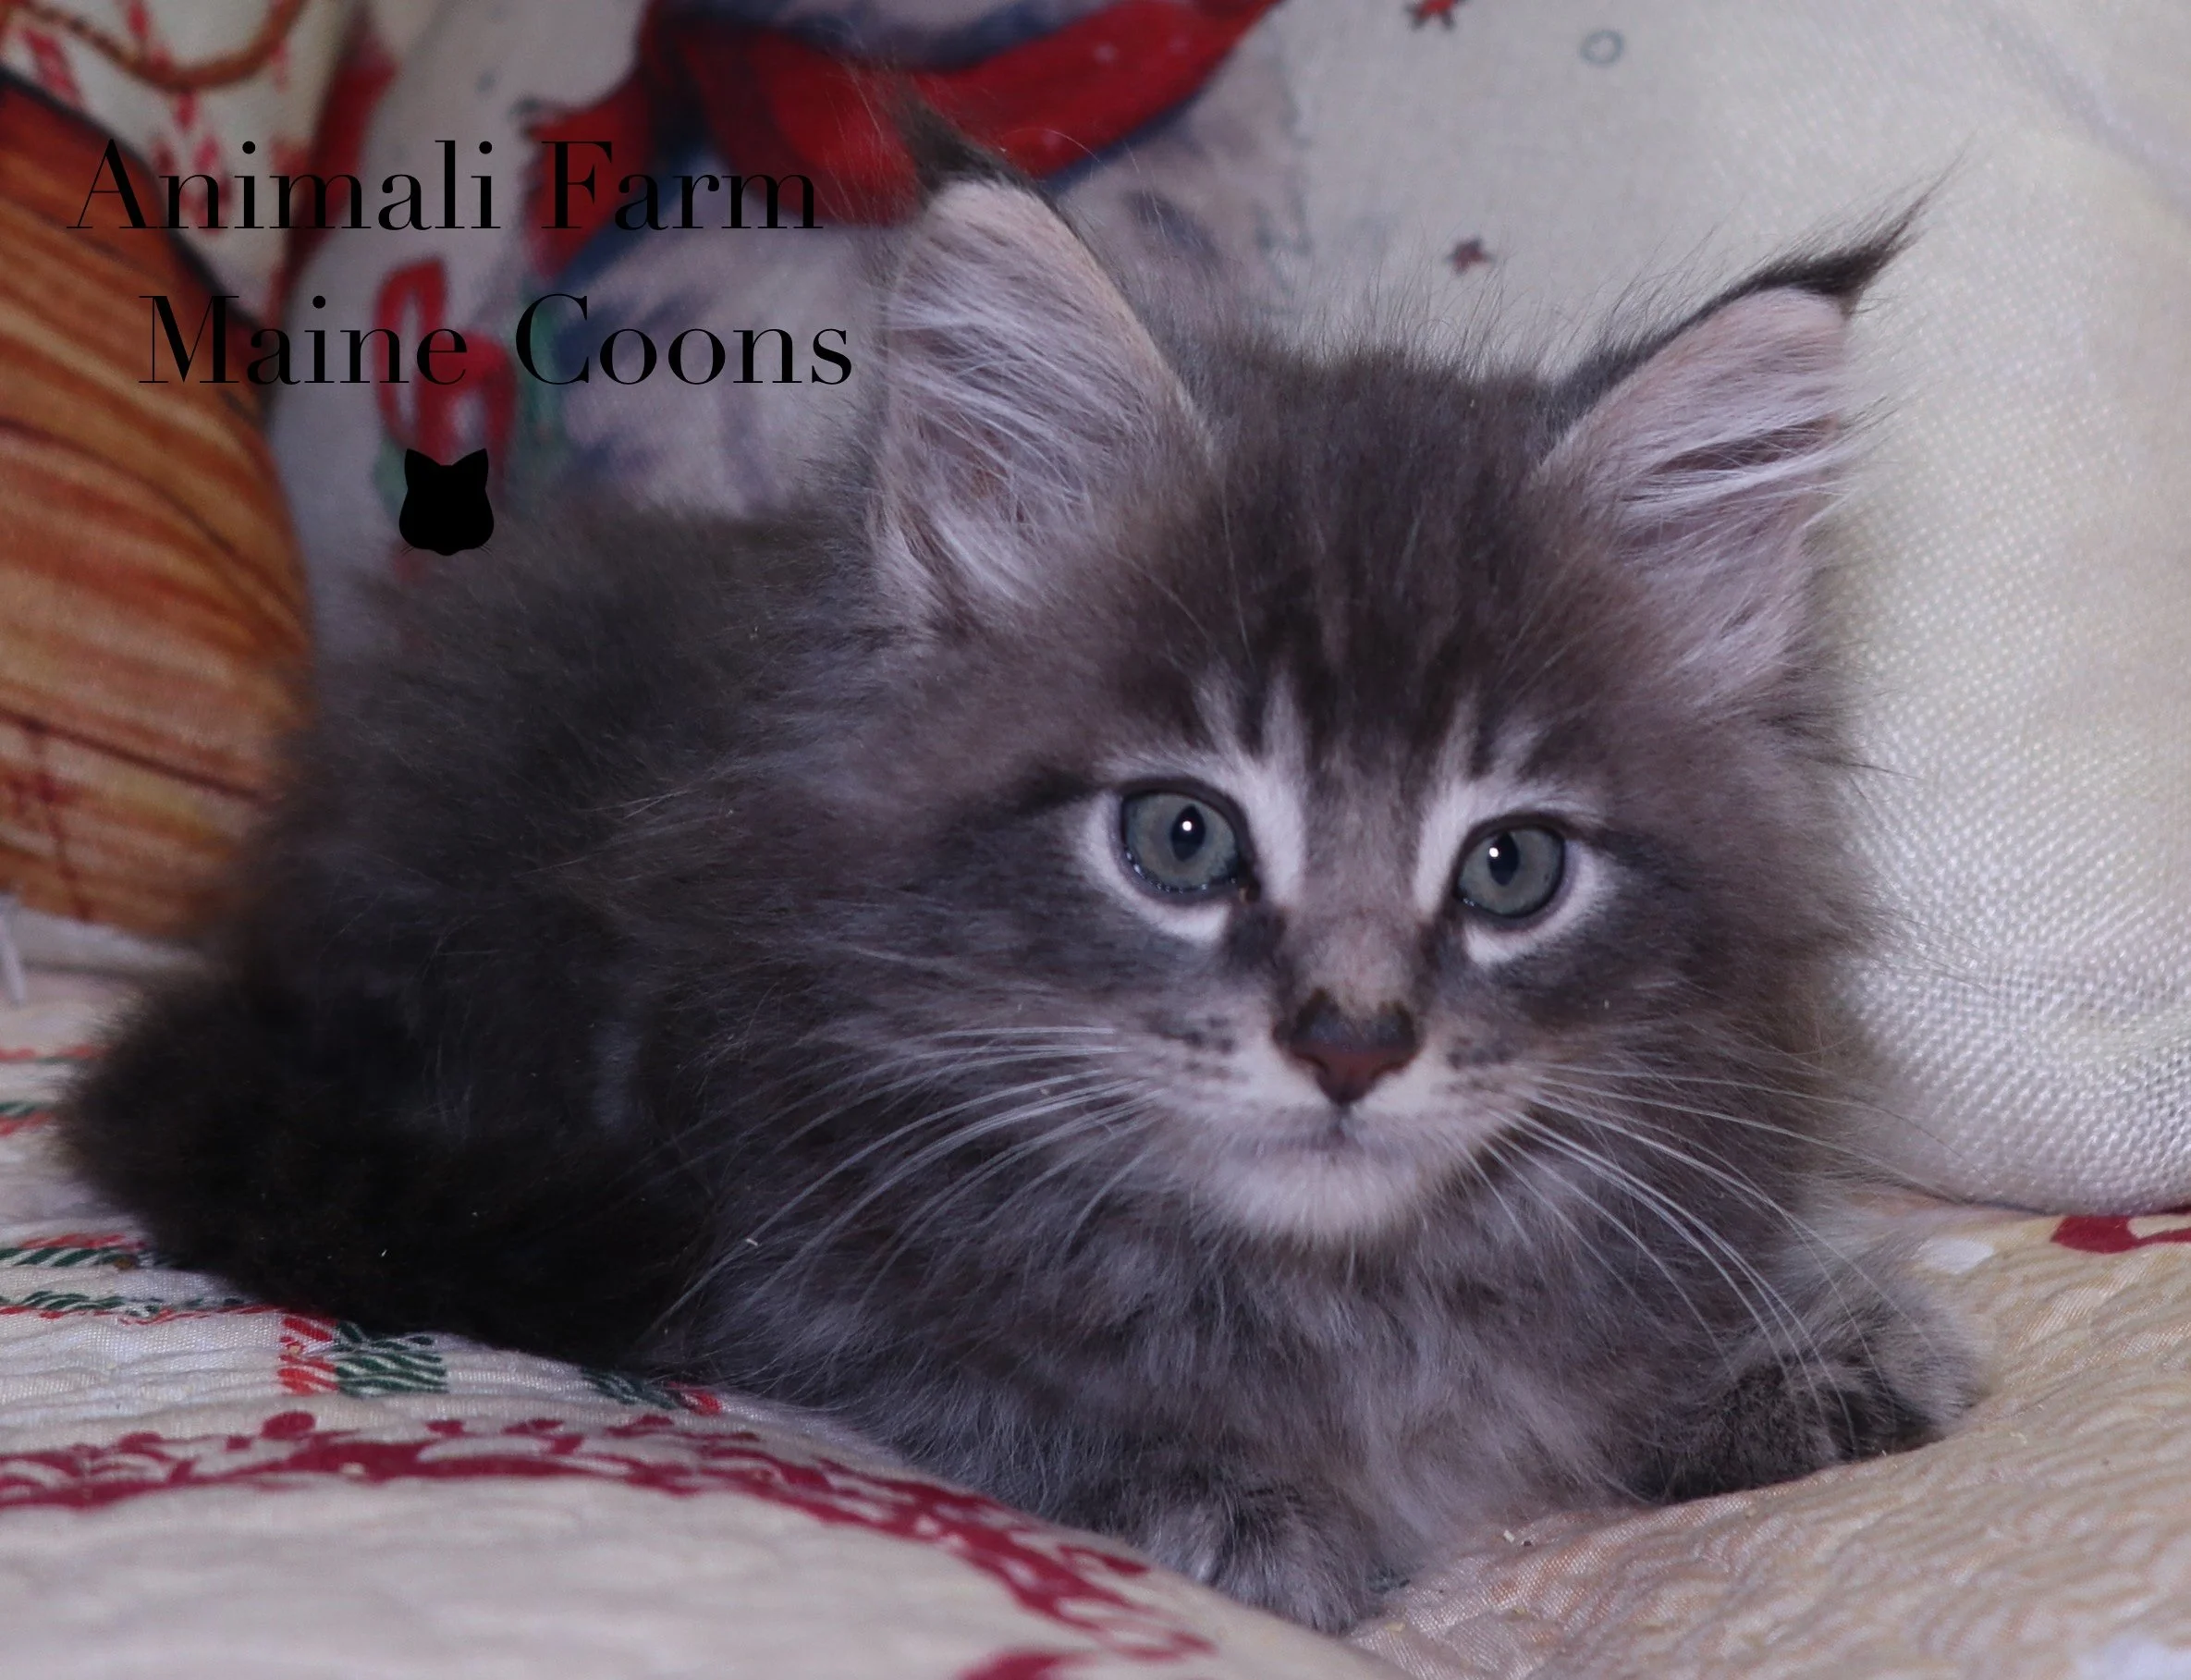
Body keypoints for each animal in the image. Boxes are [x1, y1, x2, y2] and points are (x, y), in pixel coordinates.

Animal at [64, 152, 1974, 1631]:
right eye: (1182, 839)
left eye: (1510, 868)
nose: (1353, 1041)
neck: (1342, 1287)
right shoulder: (795, 1273)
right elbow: (1006, 1401)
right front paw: (1230, 1499)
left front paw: (1810, 1338)